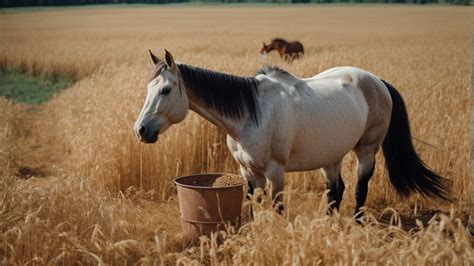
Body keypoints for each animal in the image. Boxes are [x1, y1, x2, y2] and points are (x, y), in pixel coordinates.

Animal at [134, 50, 448, 218]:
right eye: (149, 88)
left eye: (166, 90)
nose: (141, 130)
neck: (250, 113)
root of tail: (378, 81)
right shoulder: (248, 172)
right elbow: (253, 205)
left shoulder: (275, 171)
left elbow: (278, 207)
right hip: (330, 155)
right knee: (336, 190)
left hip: (367, 151)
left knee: (359, 190)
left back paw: (355, 225)